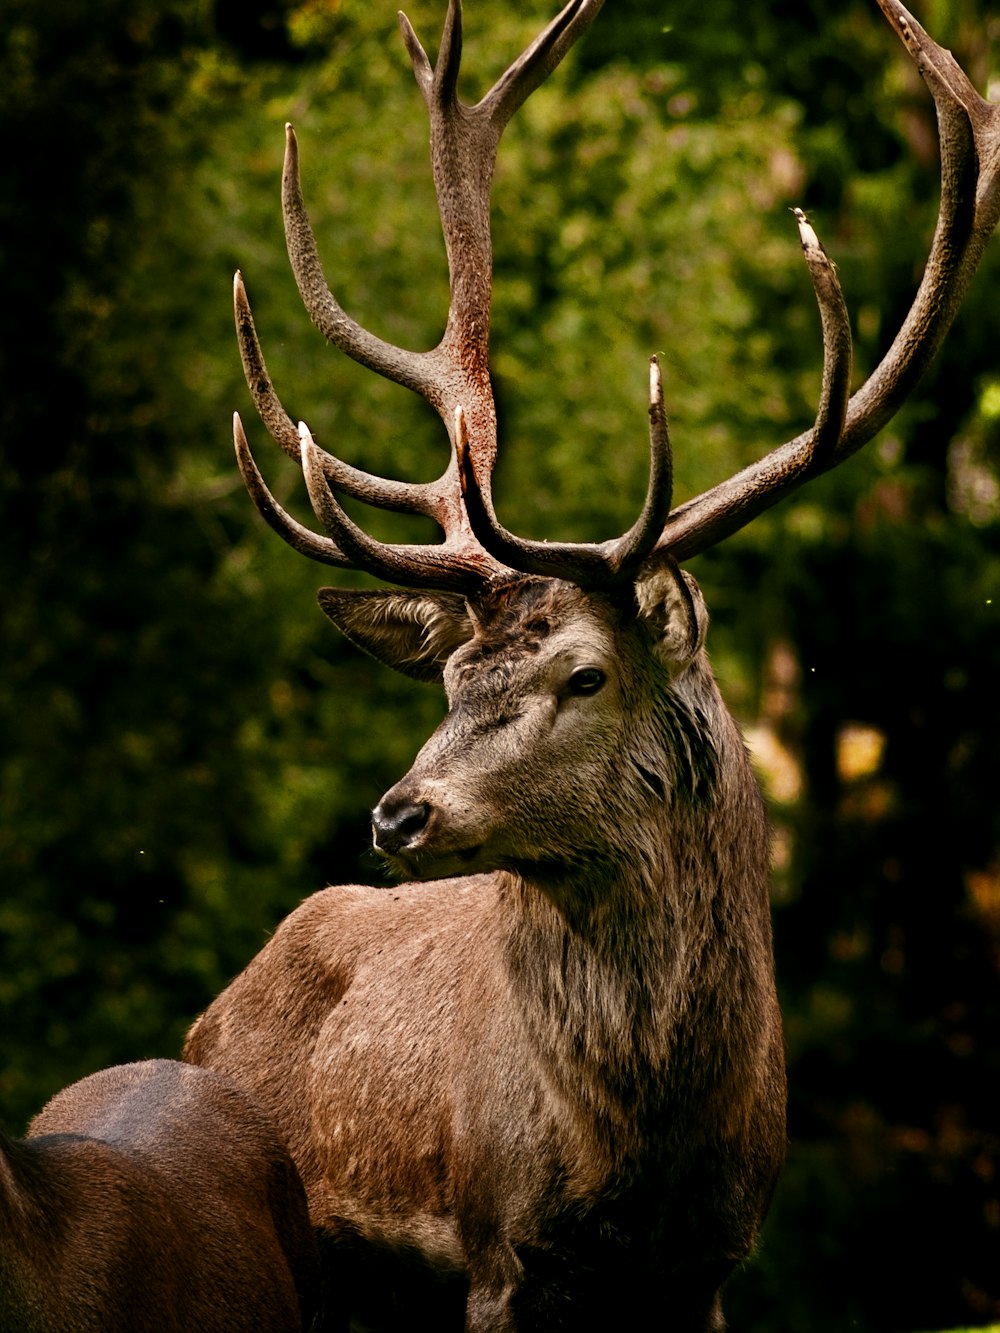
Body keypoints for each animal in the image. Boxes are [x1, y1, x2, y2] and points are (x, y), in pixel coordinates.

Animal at [182, 0, 1000, 1327]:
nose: (398, 813)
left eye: (583, 675)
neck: (644, 1167)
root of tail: (214, 1014)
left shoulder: (712, 1268)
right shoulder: (494, 1255)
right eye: (451, 681)